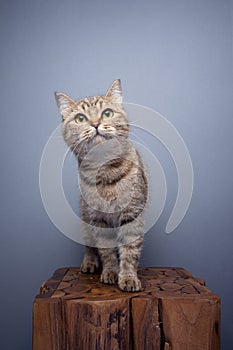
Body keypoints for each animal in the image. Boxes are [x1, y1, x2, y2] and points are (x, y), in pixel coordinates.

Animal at [54, 80, 147, 292]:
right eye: (80, 118)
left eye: (107, 113)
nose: (96, 124)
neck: (105, 172)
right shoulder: (98, 219)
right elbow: (106, 251)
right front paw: (110, 272)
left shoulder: (131, 214)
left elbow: (129, 251)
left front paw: (128, 277)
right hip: (85, 218)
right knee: (89, 246)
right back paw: (89, 263)